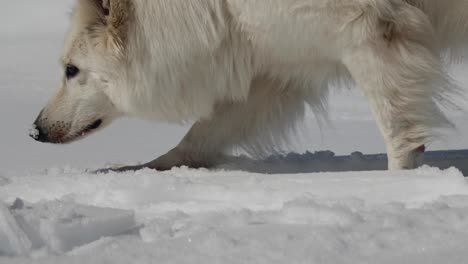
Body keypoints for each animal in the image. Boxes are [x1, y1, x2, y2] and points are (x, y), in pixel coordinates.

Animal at [30, 0, 464, 171]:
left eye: (71, 70)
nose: (35, 130)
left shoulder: (370, 33)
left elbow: (397, 131)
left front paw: (395, 184)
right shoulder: (279, 66)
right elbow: (201, 134)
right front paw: (140, 170)